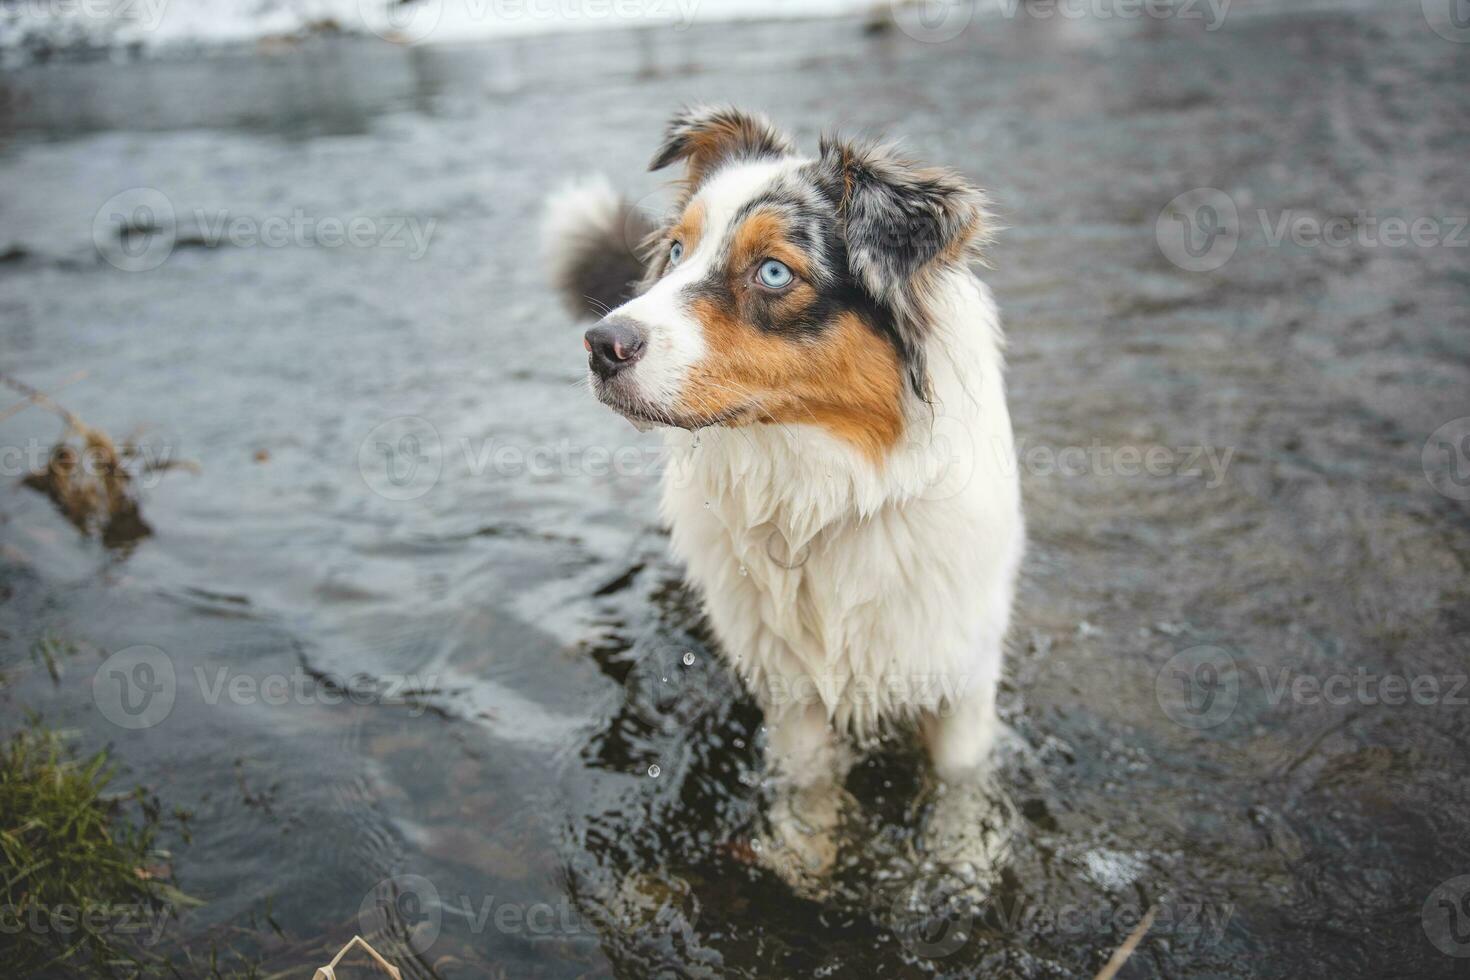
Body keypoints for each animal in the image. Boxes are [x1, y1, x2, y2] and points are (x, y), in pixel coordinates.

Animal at [543, 109, 1023, 899]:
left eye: (773, 272)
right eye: (676, 250)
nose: (600, 344)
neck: (820, 489)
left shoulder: (961, 661)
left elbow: (960, 776)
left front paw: (961, 863)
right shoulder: (787, 683)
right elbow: (809, 783)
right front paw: (803, 860)